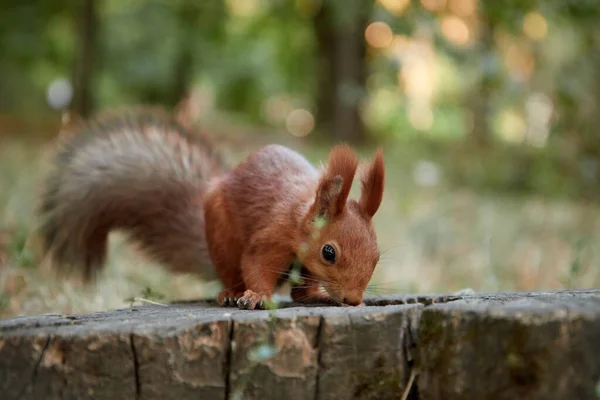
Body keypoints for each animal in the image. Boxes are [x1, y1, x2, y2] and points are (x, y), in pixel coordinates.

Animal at [38, 104, 384, 310]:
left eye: (377, 256)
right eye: (329, 253)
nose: (354, 300)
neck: (300, 216)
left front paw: (317, 293)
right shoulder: (270, 236)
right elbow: (255, 265)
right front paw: (258, 296)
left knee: (298, 288)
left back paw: (310, 293)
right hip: (222, 238)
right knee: (233, 273)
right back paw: (231, 293)